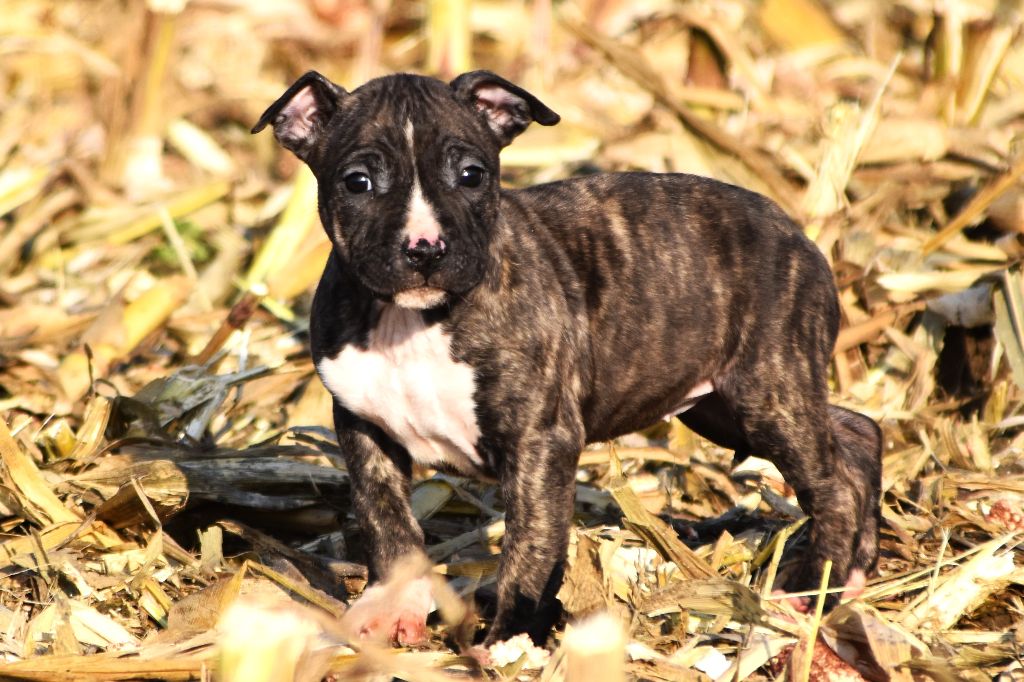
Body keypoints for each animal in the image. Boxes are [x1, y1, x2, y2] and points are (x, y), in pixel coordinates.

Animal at [251, 71, 884, 647]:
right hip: (721, 401)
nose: (425, 248)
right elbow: (388, 521)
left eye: (472, 175)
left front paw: (509, 638)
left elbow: (531, 541)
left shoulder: (540, 440)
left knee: (832, 484)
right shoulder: (364, 426)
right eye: (358, 182)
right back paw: (857, 569)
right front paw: (393, 607)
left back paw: (815, 589)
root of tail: (800, 235)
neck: (414, 321)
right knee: (858, 435)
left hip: (765, 390)